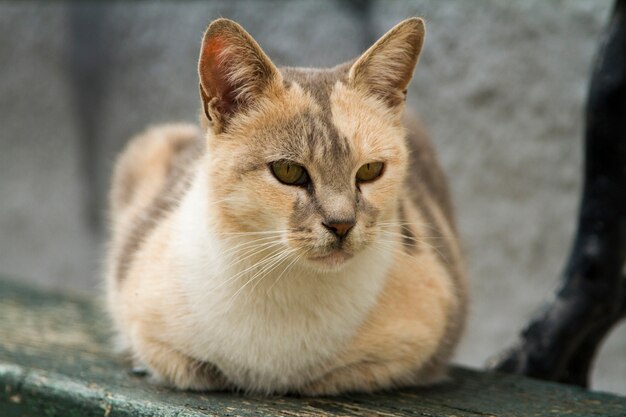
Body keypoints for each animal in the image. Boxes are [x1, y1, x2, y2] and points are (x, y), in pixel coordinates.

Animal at [105, 17, 466, 394]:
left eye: (370, 170)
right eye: (288, 171)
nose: (342, 223)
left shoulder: (423, 335)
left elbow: (332, 377)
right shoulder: (142, 314)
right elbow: (191, 367)